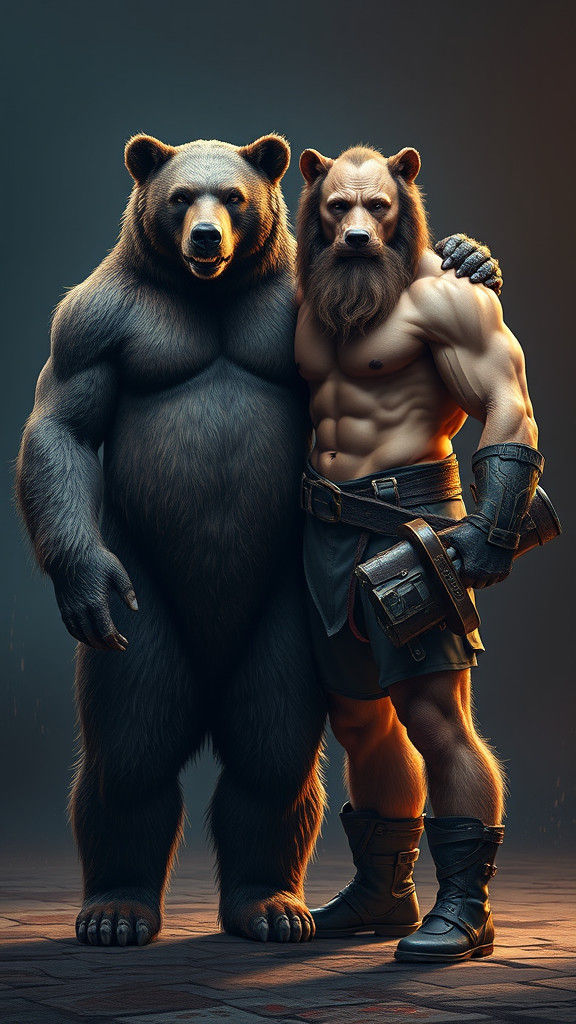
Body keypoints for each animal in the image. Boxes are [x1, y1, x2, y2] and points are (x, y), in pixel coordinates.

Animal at [16, 132, 503, 947]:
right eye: (182, 196)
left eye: (234, 196)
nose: (206, 237)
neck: (210, 294)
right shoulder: (94, 320)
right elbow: (65, 423)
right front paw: (82, 584)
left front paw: (472, 258)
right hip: (152, 600)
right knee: (132, 748)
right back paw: (117, 909)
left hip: (285, 615)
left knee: (269, 754)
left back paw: (272, 906)